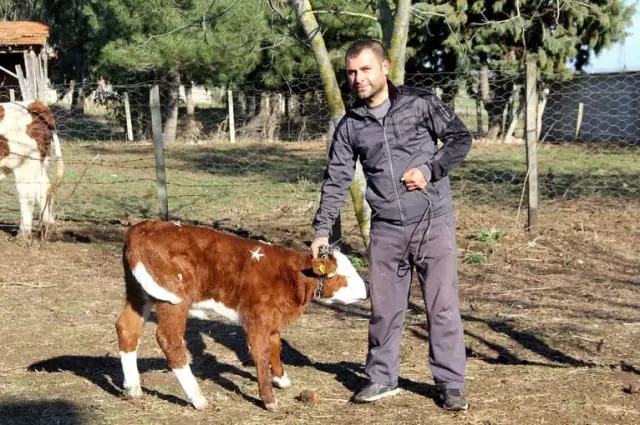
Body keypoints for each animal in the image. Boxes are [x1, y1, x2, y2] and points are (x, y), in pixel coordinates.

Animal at [0, 100, 64, 237]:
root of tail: (32, 103)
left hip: (26, 165)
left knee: (27, 197)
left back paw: (23, 235)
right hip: (40, 164)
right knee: (44, 190)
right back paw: (48, 228)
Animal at [115, 220, 364, 410]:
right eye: (345, 276)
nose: (366, 291)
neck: (290, 275)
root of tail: (143, 227)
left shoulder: (272, 317)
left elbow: (276, 344)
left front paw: (281, 379)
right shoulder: (257, 318)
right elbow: (261, 352)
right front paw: (269, 400)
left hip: (138, 293)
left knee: (127, 328)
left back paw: (133, 389)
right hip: (173, 300)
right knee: (170, 340)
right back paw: (198, 398)